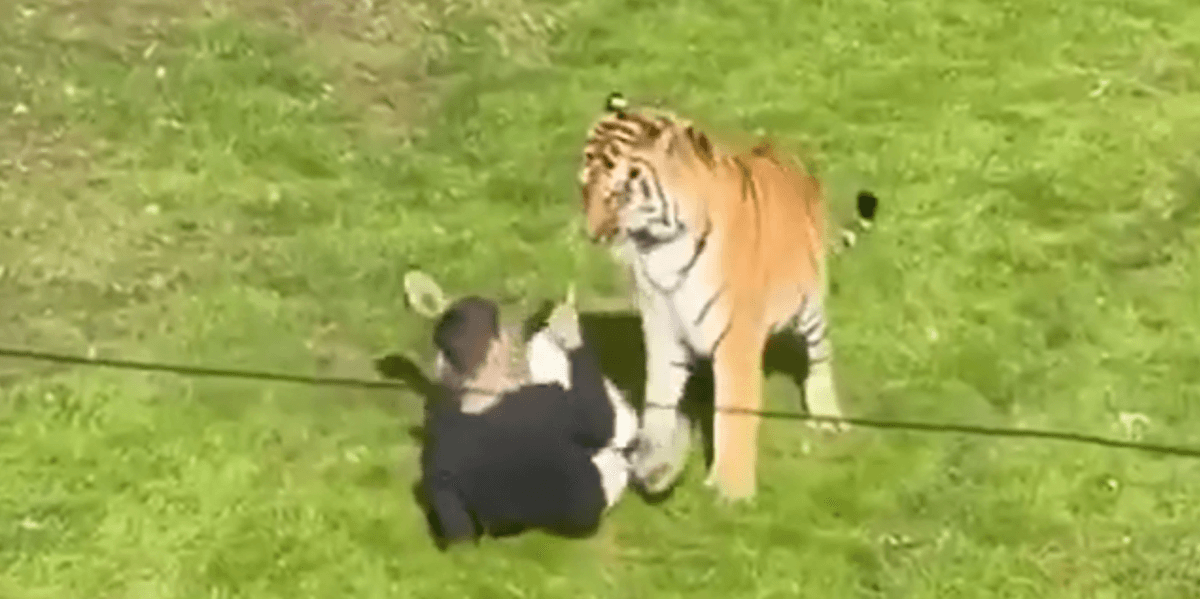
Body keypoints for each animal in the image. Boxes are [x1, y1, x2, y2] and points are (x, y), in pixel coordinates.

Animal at [575, 92, 879, 501]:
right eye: (584, 187)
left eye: (619, 191)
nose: (592, 234)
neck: (661, 249)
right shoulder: (661, 328)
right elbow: (659, 399)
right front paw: (656, 465)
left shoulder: (735, 334)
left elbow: (733, 411)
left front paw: (731, 492)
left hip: (809, 306)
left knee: (820, 357)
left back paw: (826, 415)